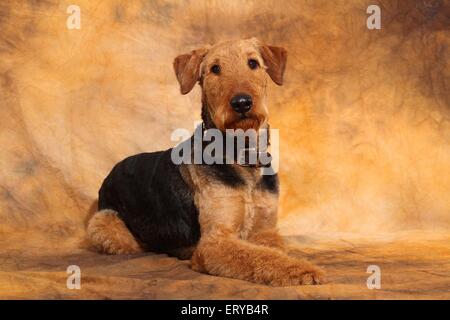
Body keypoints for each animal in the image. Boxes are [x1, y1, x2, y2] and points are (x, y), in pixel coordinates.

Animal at [88, 38, 326, 286]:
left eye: (253, 63)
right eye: (215, 69)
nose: (242, 103)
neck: (243, 157)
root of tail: (112, 170)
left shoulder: (265, 232)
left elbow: (273, 252)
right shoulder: (215, 241)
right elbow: (262, 256)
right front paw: (304, 271)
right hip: (107, 226)